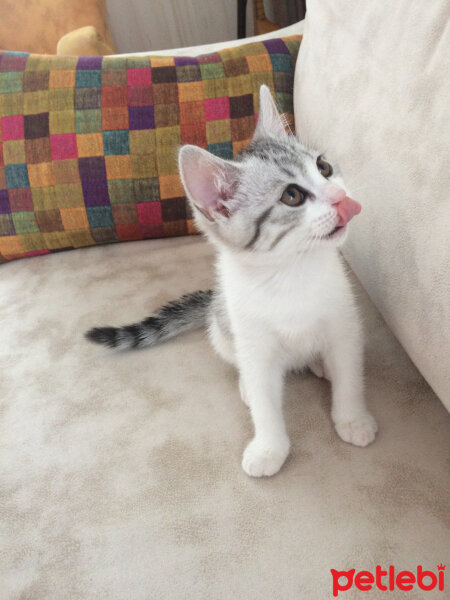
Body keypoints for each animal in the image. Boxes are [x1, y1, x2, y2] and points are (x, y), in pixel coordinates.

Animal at [84, 84, 376, 478]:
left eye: (324, 167)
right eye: (292, 195)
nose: (345, 200)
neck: (291, 271)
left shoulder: (344, 323)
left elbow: (349, 375)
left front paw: (353, 419)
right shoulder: (252, 340)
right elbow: (265, 401)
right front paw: (268, 447)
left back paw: (320, 365)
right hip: (222, 328)